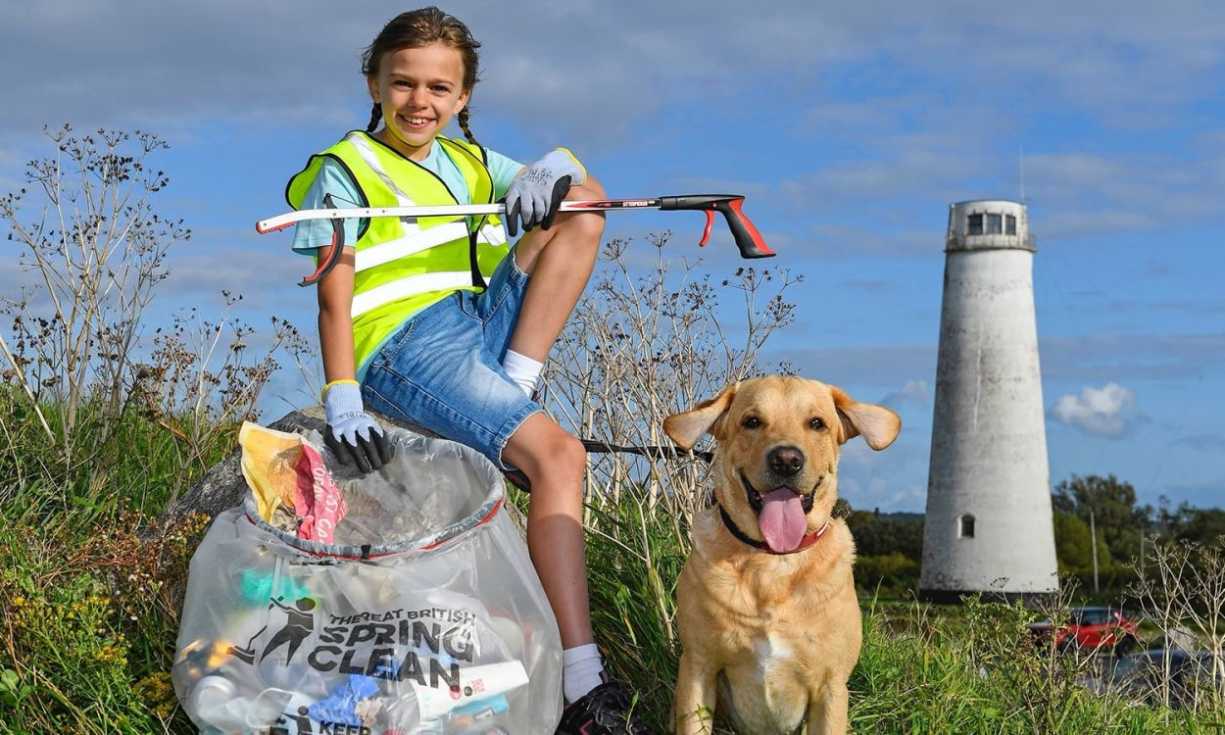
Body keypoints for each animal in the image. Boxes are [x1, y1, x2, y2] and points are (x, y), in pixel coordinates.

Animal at [671, 379, 901, 735]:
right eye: (751, 421)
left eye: (817, 423)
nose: (786, 460)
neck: (774, 560)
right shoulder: (699, 668)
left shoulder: (830, 688)